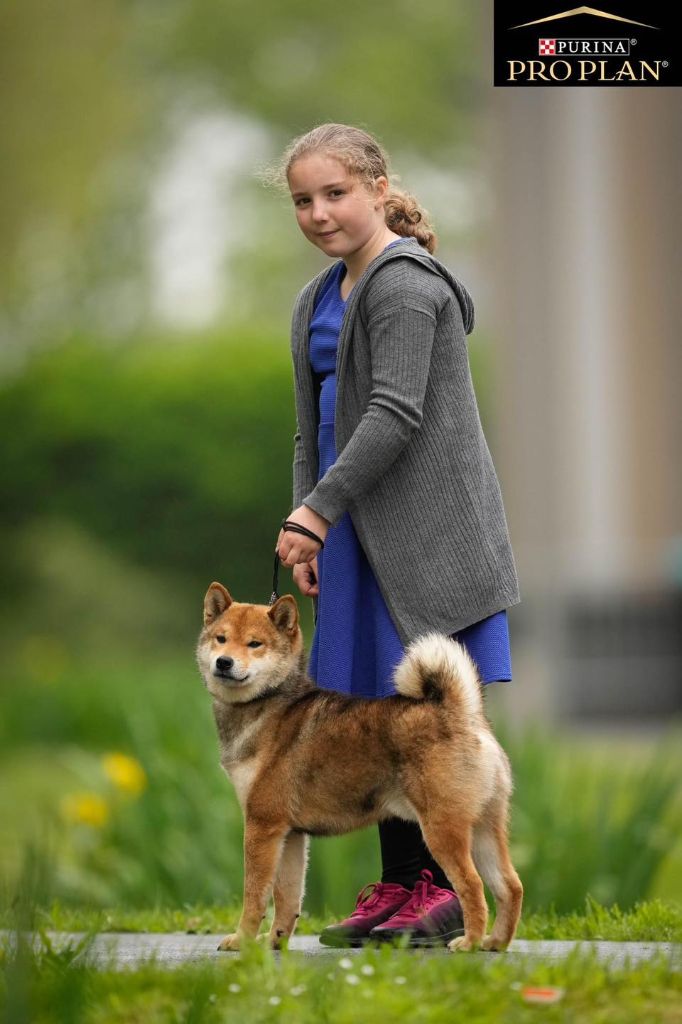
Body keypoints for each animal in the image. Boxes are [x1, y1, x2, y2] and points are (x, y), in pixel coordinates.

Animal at [193, 585, 522, 950]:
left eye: (254, 644)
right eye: (221, 638)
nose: (224, 662)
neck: (267, 704)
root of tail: (463, 713)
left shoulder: (262, 826)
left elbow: (255, 894)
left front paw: (243, 940)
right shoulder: (290, 833)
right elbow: (288, 897)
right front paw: (274, 941)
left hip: (443, 829)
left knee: (473, 886)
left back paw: (469, 943)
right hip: (484, 826)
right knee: (510, 886)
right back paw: (496, 942)